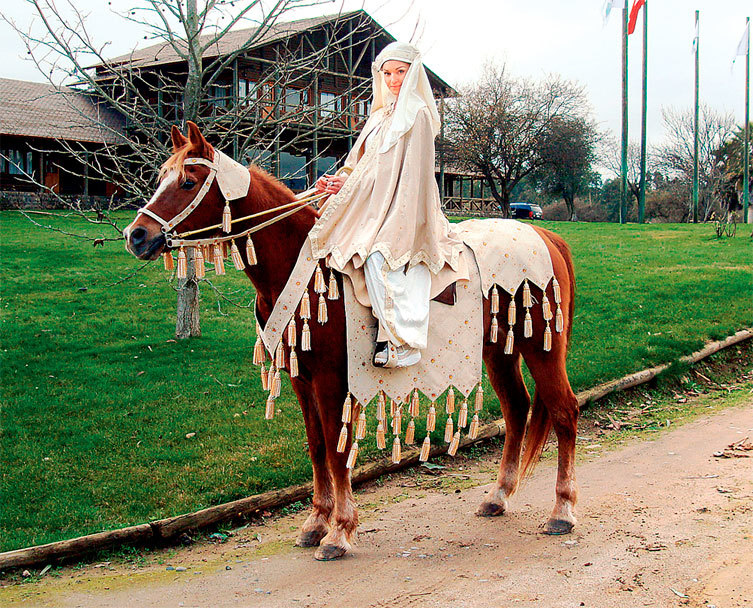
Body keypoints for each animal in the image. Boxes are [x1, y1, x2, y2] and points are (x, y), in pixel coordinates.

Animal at [123, 122, 580, 560]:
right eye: (160, 177)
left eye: (187, 181)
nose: (136, 235)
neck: (299, 268)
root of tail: (544, 236)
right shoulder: (302, 379)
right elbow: (316, 447)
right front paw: (317, 521)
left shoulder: (331, 380)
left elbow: (336, 449)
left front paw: (340, 532)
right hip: (500, 350)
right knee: (518, 409)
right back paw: (498, 497)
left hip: (542, 348)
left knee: (563, 410)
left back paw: (562, 510)